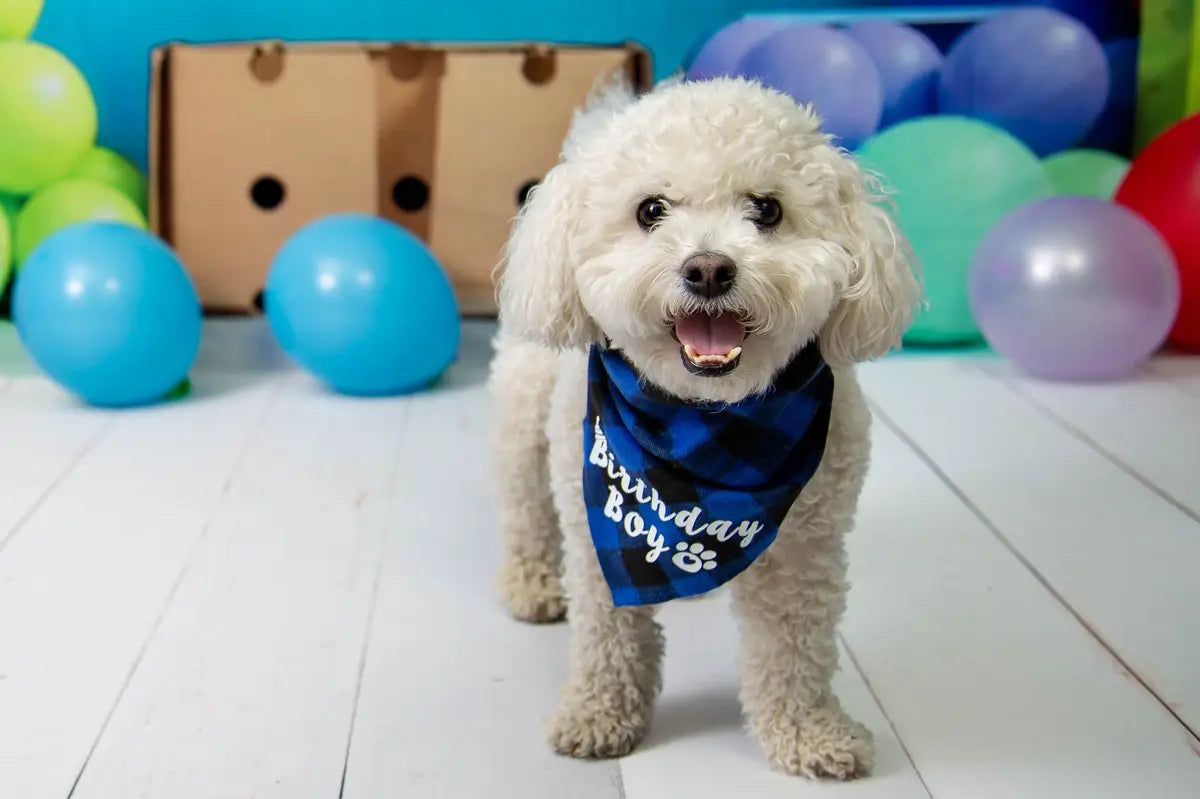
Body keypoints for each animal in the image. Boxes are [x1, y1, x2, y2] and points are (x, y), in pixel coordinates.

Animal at [487, 74, 916, 777]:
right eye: (651, 210)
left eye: (766, 210)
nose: (709, 269)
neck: (707, 423)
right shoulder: (597, 535)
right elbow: (607, 635)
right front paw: (597, 715)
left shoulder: (805, 552)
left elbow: (795, 651)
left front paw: (808, 733)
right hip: (524, 419)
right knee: (523, 508)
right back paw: (531, 584)